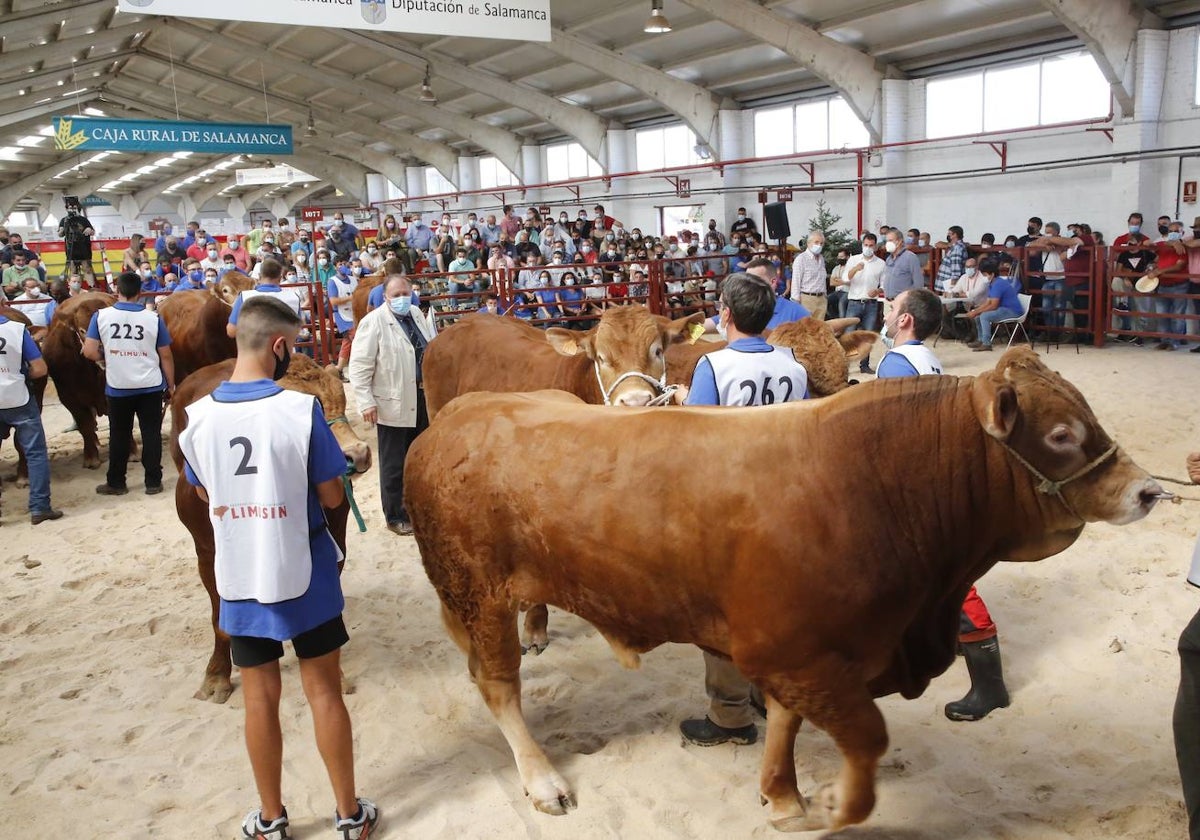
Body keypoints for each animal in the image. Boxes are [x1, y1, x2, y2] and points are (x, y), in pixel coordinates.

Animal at [170, 355, 369, 700]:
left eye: (341, 398)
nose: (357, 454)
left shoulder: (334, 536)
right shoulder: (207, 552)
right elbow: (218, 617)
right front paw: (217, 674)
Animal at [403, 348, 1161, 835]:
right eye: (1060, 433)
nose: (1149, 490)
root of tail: (454, 419)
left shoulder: (804, 652)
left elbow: (789, 724)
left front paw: (783, 796)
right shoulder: (800, 655)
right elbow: (865, 739)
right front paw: (827, 806)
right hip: (479, 594)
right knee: (499, 686)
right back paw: (542, 780)